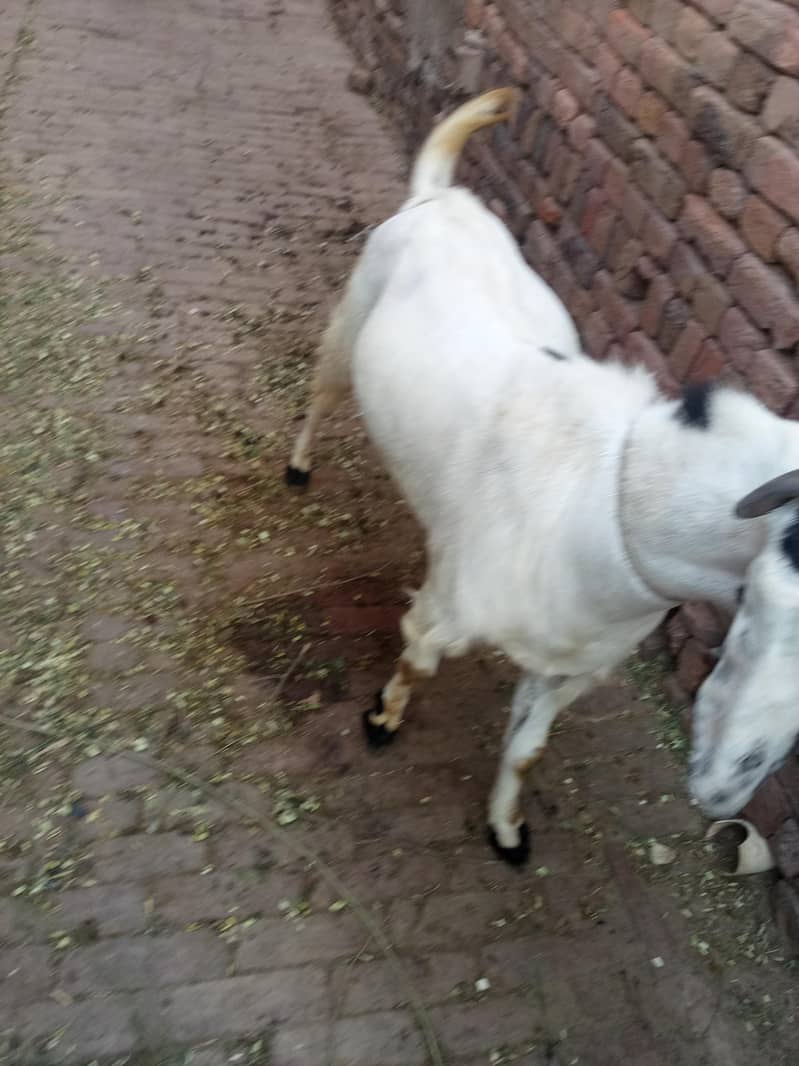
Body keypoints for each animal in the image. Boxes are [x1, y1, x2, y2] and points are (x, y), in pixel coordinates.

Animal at [287, 88, 799, 865]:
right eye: (767, 601)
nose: (723, 790)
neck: (600, 501)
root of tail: (439, 194)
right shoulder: (447, 613)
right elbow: (416, 660)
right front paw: (381, 720)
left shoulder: (573, 669)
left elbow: (527, 749)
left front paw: (506, 830)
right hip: (349, 323)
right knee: (321, 391)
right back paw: (297, 464)